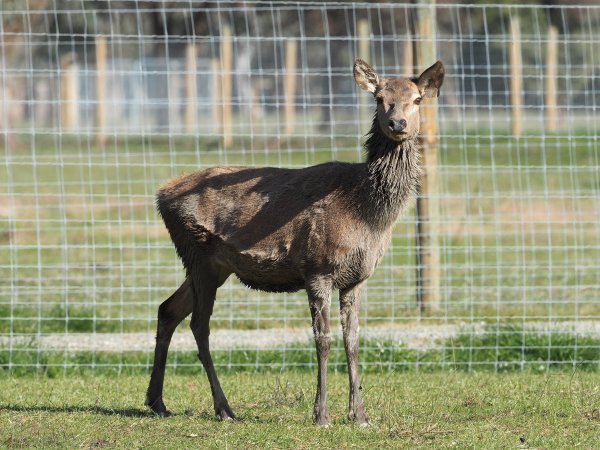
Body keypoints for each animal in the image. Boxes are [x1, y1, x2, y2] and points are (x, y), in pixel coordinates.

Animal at [145, 59, 446, 426]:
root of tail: (160, 195)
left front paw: (359, 415)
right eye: (379, 98)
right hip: (197, 251)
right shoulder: (317, 268)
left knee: (167, 309)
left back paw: (157, 401)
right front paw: (322, 415)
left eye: (417, 99)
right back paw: (224, 408)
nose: (397, 123)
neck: (368, 215)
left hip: (214, 266)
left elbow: (353, 340)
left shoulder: (357, 278)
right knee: (199, 325)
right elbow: (323, 340)